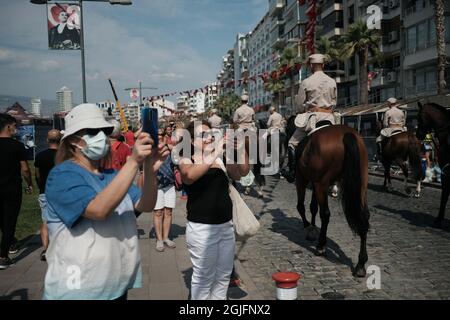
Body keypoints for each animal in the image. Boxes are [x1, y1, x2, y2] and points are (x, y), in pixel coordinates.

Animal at [288, 122, 370, 278]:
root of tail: (346, 134)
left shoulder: (303, 179)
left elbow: (301, 206)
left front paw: (309, 227)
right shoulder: (315, 184)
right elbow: (313, 207)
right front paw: (312, 228)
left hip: (320, 183)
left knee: (325, 214)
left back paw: (320, 247)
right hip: (361, 185)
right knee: (364, 217)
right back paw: (360, 264)